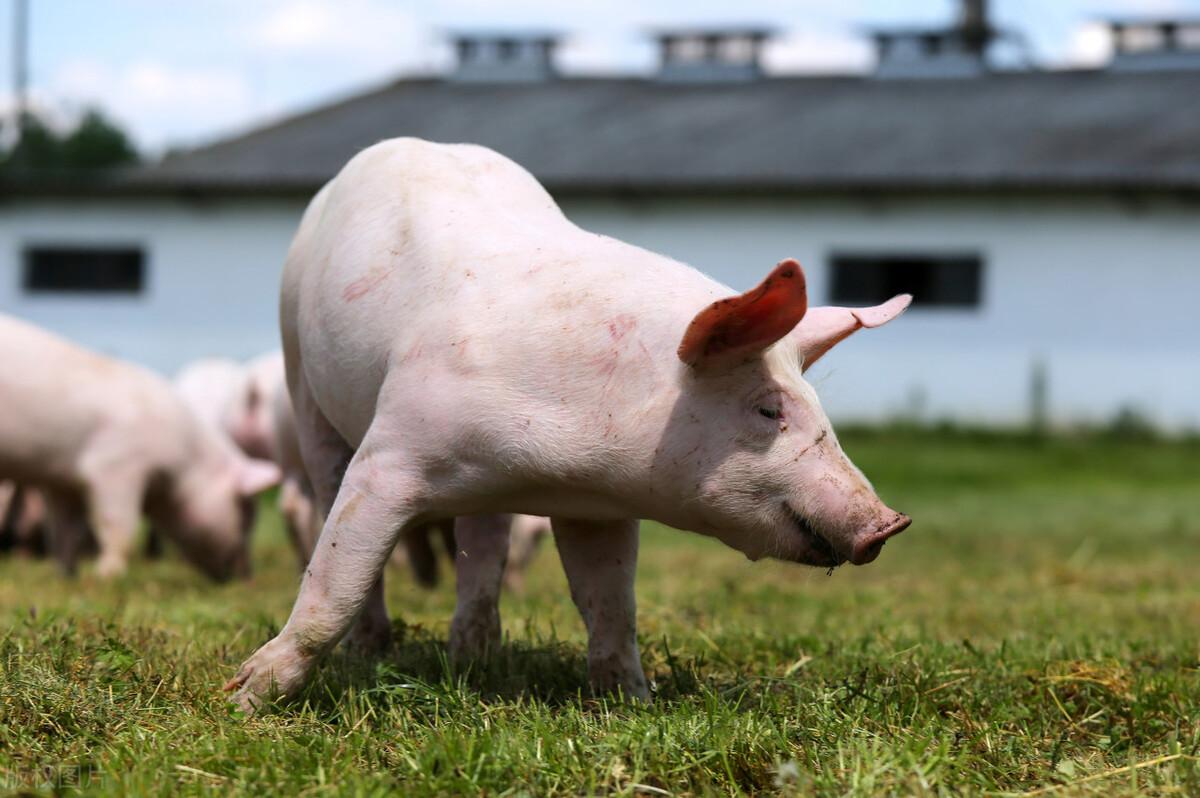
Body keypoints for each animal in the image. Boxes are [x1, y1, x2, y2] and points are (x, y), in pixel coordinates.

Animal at [0, 314, 283, 583]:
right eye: (245, 512)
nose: (247, 577)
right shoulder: (117, 467)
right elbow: (117, 526)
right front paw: (107, 578)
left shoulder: (63, 484)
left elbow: (65, 531)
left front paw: (68, 577)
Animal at [225, 136, 907, 710]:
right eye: (768, 408)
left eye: (817, 407)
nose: (888, 523)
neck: (559, 468)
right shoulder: (393, 453)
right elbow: (337, 574)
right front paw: (246, 698)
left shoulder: (600, 510)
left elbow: (610, 603)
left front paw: (633, 701)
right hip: (300, 377)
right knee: (327, 488)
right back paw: (374, 650)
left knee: (485, 539)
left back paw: (476, 654)